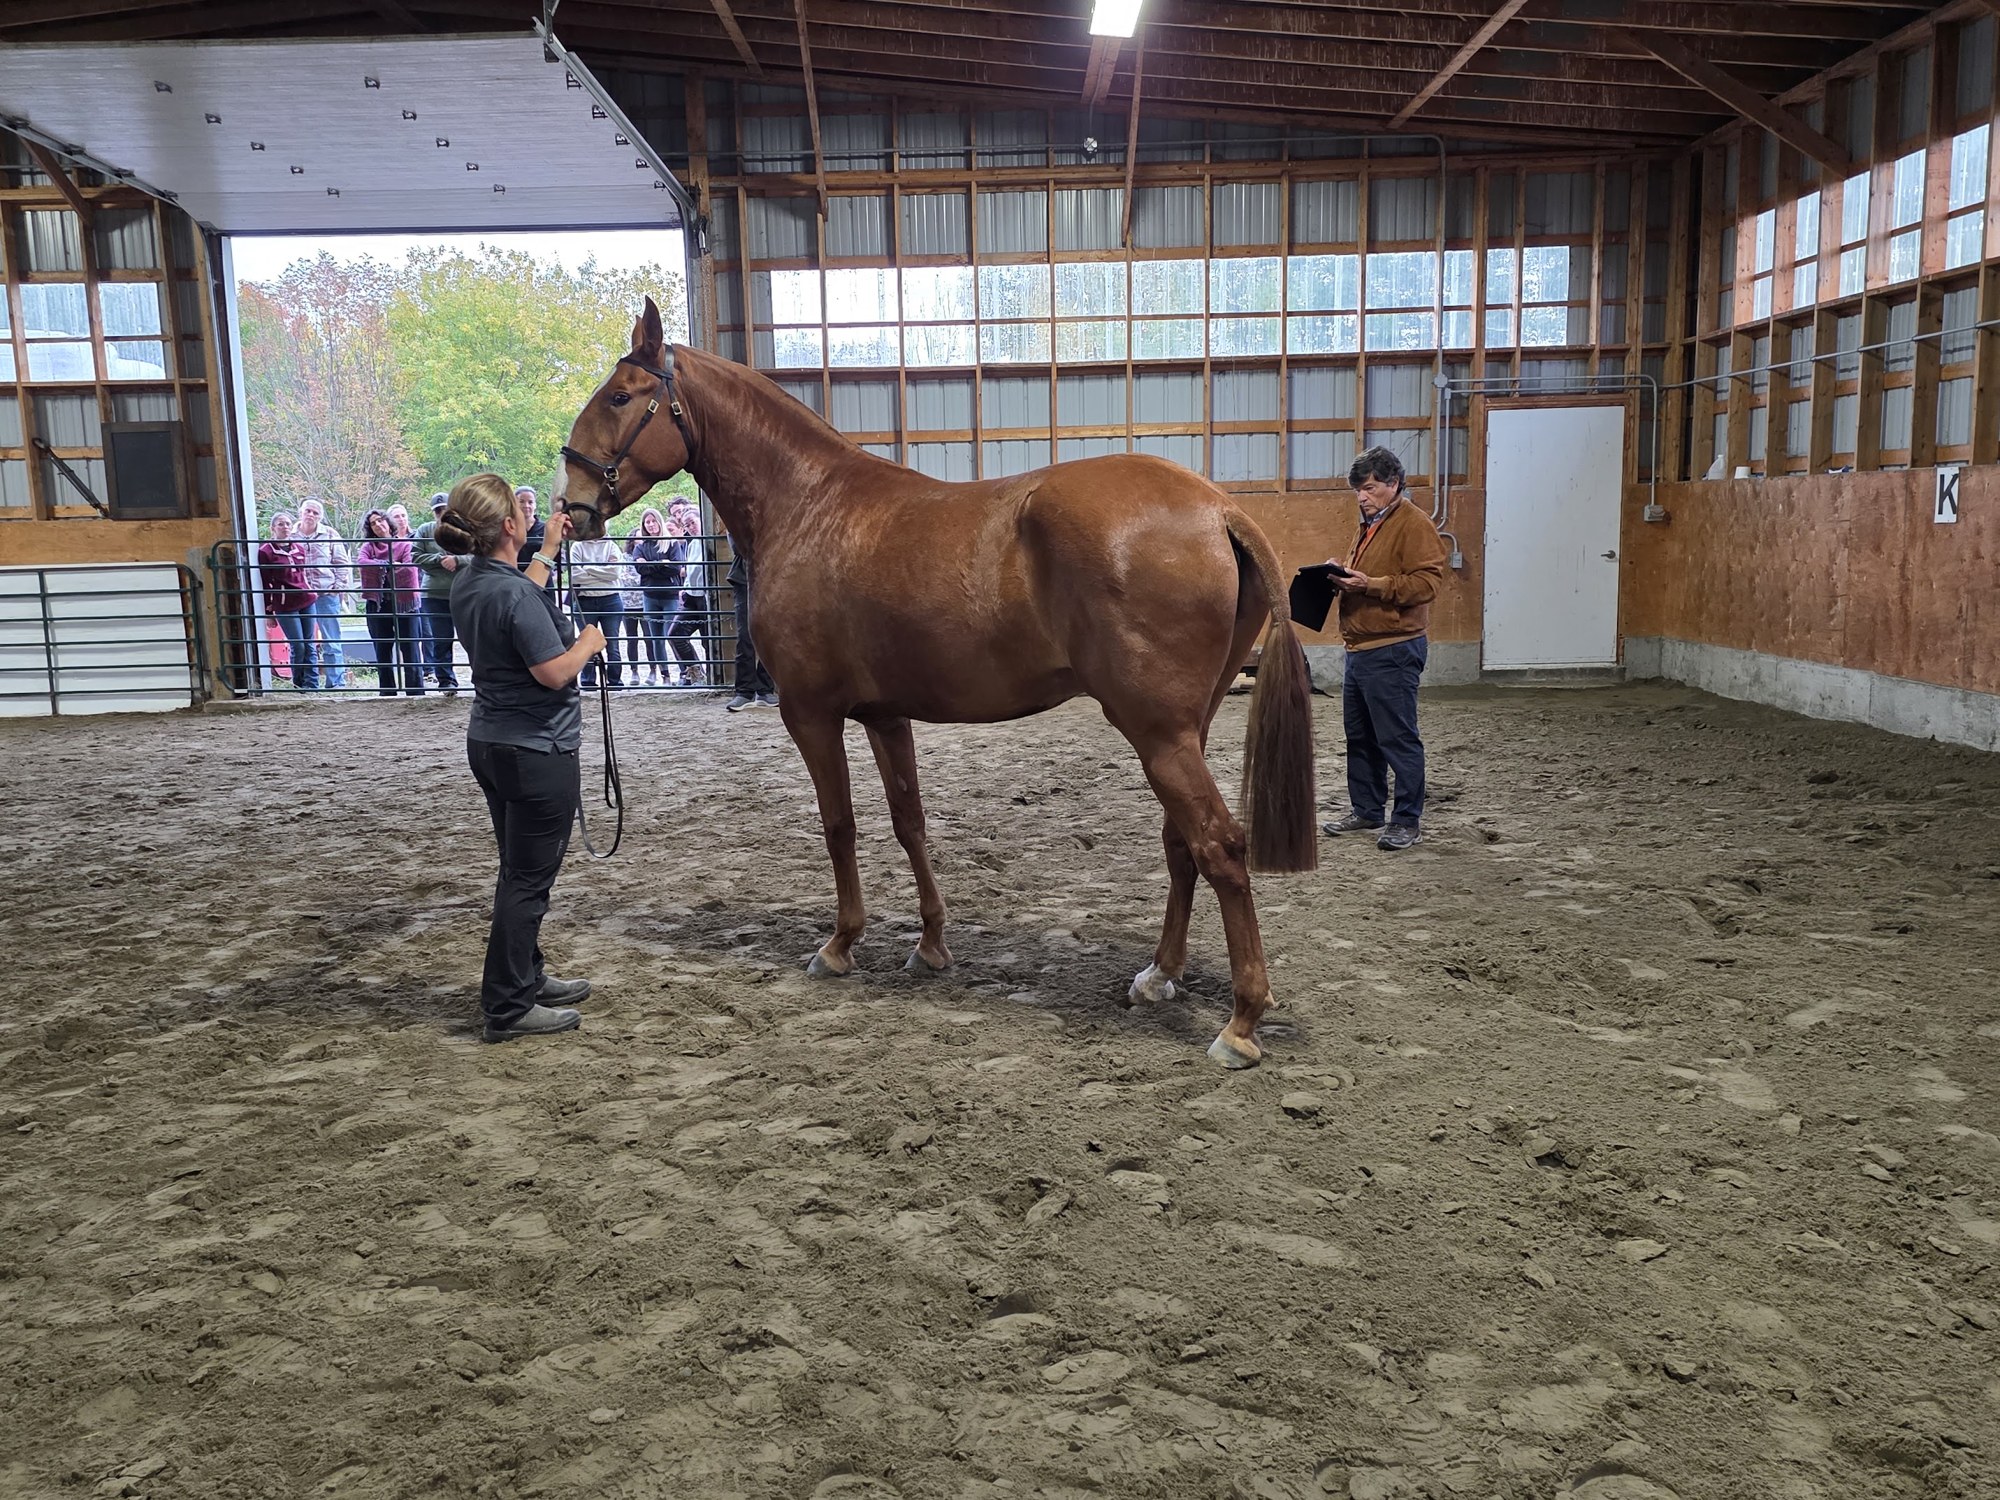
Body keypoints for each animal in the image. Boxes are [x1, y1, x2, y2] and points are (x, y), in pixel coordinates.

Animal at [558, 297, 1317, 1069]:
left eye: (621, 396)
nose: (573, 504)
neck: (808, 505)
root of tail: (1217, 508)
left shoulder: (810, 713)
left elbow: (839, 825)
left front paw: (840, 945)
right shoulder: (885, 716)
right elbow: (909, 823)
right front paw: (929, 944)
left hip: (1157, 733)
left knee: (1220, 846)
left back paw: (1241, 1022)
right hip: (1183, 729)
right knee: (1181, 843)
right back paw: (1159, 975)